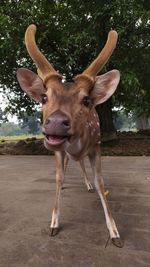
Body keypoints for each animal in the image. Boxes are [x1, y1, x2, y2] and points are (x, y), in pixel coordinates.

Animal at [16, 24, 123, 248]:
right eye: (44, 97)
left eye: (86, 100)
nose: (56, 123)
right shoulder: (57, 150)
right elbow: (58, 177)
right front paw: (53, 223)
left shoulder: (97, 145)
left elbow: (100, 182)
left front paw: (114, 232)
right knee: (67, 166)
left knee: (80, 164)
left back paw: (88, 185)